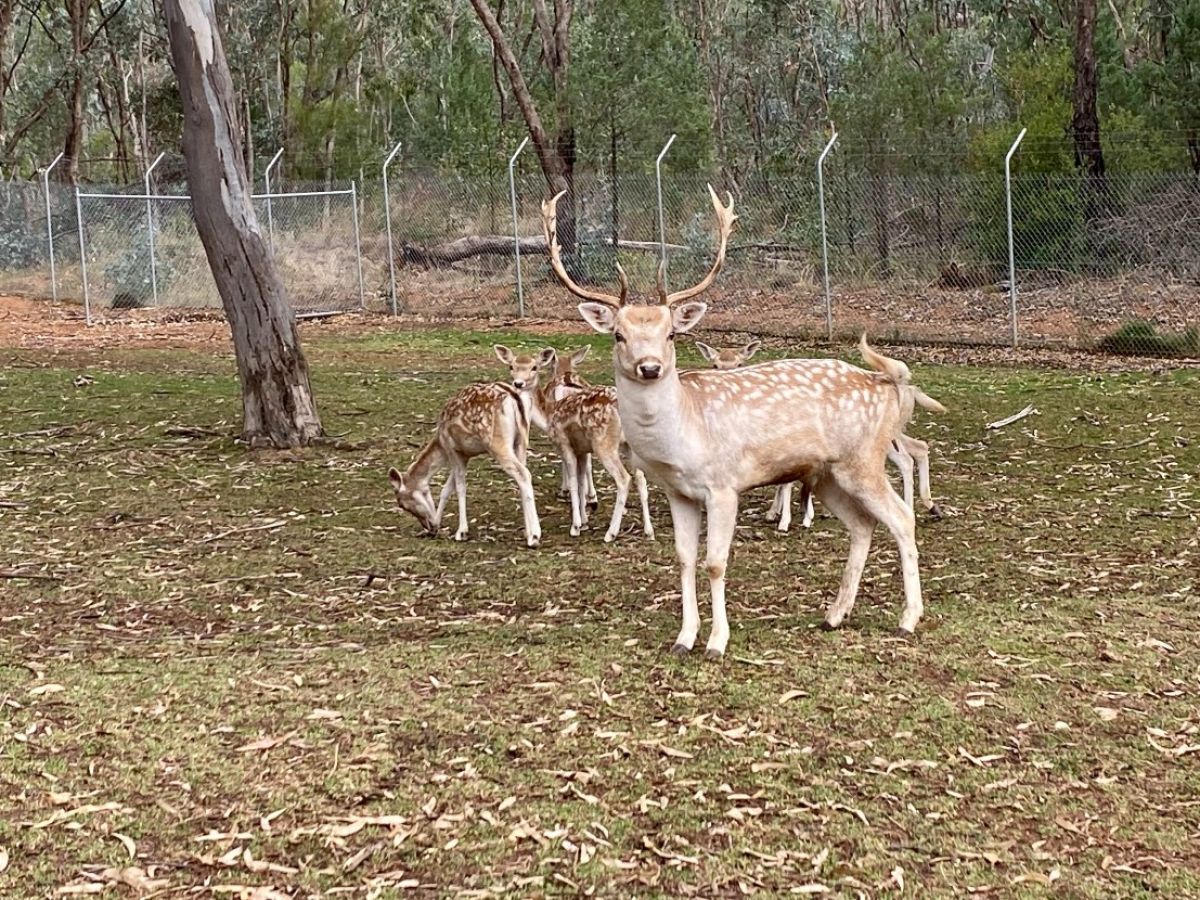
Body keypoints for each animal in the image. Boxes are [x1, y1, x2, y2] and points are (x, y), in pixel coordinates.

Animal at [386, 381, 542, 549]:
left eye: (403, 505)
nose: (428, 527)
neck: (440, 442)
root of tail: (514, 397)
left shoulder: (453, 449)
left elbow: (460, 487)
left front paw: (461, 532)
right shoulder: (464, 455)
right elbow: (447, 488)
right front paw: (437, 525)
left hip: (497, 442)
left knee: (523, 474)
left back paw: (534, 536)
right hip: (521, 440)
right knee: (524, 474)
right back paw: (528, 532)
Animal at [696, 343, 945, 528]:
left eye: (740, 362)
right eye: (715, 363)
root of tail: (909, 388)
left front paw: (793, 519)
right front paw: (777, 513)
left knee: (906, 458)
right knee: (918, 447)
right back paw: (931, 506)